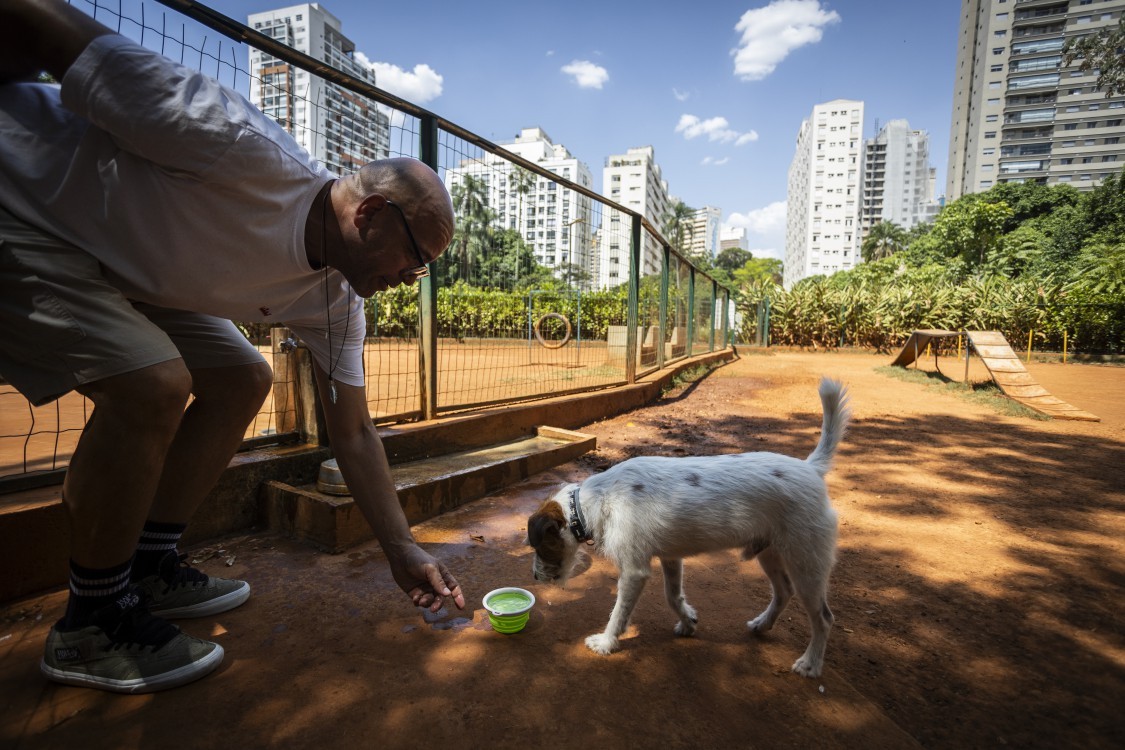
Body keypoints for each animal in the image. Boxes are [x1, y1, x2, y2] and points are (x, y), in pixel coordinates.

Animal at [528, 377, 850, 679]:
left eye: (539, 546)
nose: (533, 577)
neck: (595, 501)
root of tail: (811, 468)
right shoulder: (671, 558)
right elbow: (673, 596)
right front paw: (688, 621)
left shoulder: (634, 571)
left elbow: (619, 613)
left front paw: (606, 643)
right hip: (770, 553)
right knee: (783, 591)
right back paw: (762, 624)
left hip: (807, 564)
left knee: (824, 618)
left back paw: (811, 663)